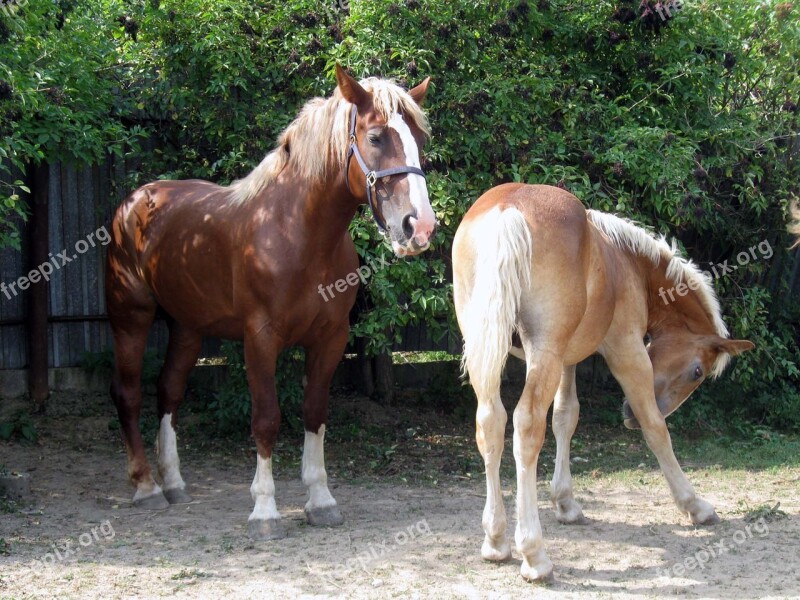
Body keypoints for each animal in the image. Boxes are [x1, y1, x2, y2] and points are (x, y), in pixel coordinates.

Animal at [106, 65, 434, 540]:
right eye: (375, 137)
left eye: (419, 139)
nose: (419, 226)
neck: (297, 233)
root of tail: (136, 201)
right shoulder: (260, 339)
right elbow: (266, 418)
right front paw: (265, 511)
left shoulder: (330, 339)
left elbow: (314, 413)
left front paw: (321, 500)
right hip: (130, 317)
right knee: (128, 393)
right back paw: (146, 487)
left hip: (187, 327)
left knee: (169, 390)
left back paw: (174, 482)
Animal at [454, 185, 752, 584]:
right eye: (697, 372)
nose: (626, 416)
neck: (626, 262)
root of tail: (509, 208)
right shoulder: (627, 350)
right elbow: (656, 429)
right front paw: (694, 505)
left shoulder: (568, 361)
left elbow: (565, 418)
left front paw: (565, 502)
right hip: (543, 354)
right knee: (526, 427)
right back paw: (534, 554)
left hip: (491, 351)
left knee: (490, 424)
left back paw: (496, 540)